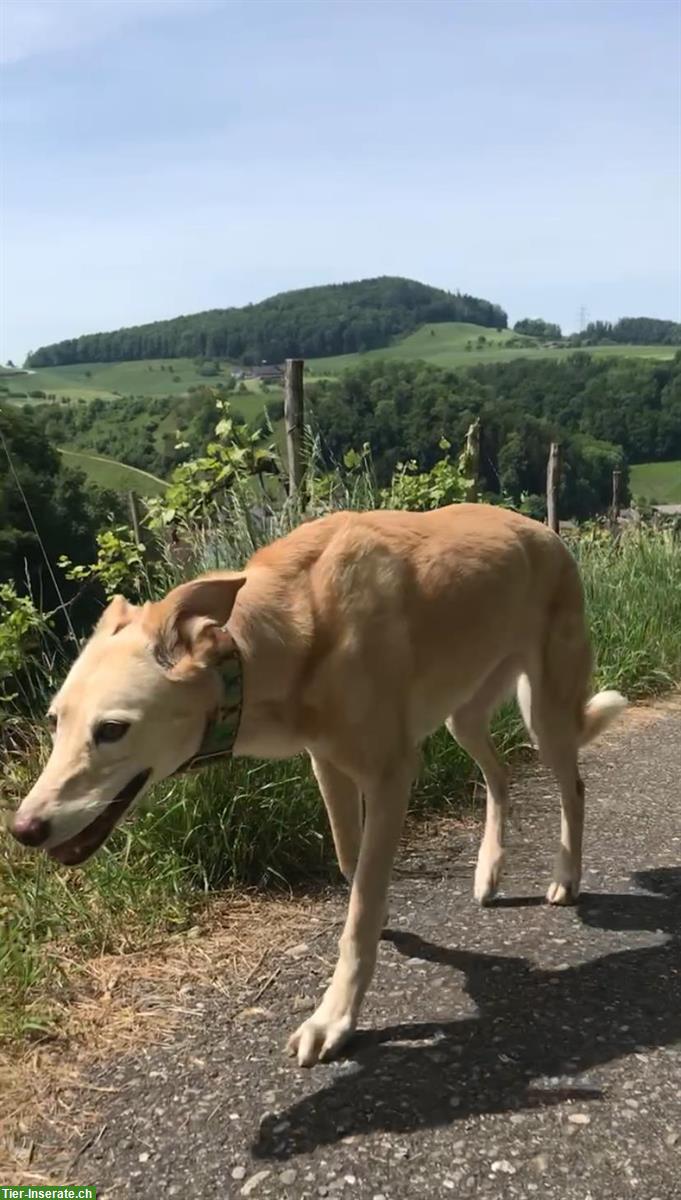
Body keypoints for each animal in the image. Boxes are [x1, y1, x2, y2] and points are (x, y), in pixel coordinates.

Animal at [11, 501, 628, 1065]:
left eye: (112, 729)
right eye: (55, 720)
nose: (23, 830)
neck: (295, 625)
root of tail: (543, 530)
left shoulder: (391, 774)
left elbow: (360, 909)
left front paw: (334, 1018)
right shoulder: (328, 766)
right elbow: (353, 868)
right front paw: (379, 929)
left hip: (544, 712)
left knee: (573, 787)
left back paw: (566, 877)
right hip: (465, 717)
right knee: (498, 776)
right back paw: (489, 870)